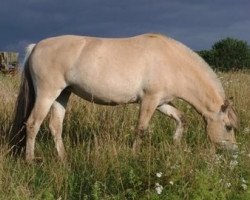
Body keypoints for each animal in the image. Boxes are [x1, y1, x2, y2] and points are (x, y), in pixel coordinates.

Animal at [10, 33, 238, 162]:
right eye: (228, 127)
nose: (234, 152)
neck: (172, 61)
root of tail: (36, 46)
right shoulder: (149, 101)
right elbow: (141, 129)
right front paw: (134, 155)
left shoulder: (161, 103)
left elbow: (181, 118)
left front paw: (175, 144)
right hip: (47, 94)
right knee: (33, 124)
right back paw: (30, 161)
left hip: (62, 94)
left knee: (55, 127)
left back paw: (64, 159)